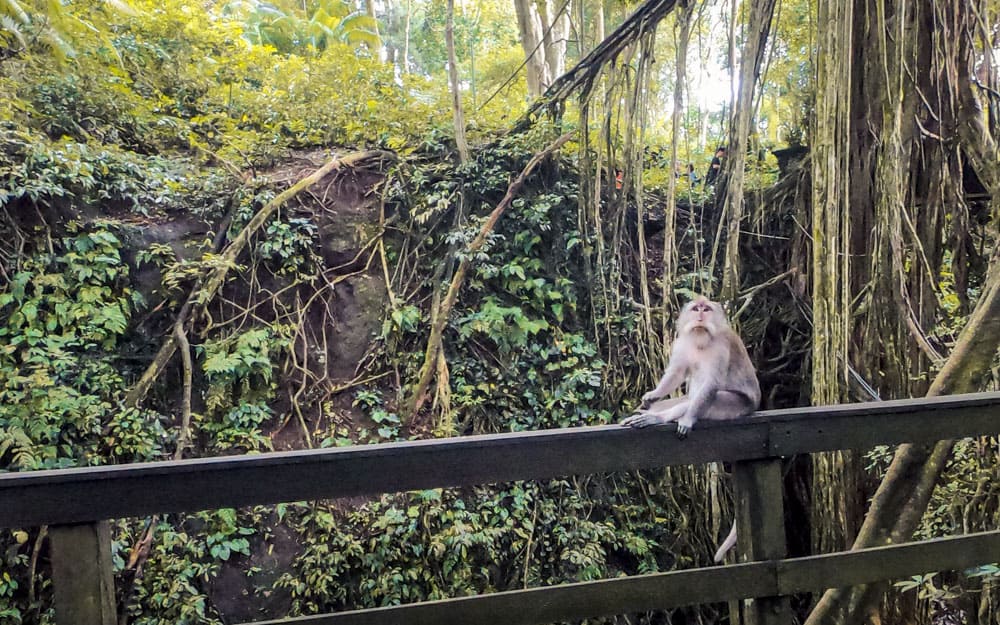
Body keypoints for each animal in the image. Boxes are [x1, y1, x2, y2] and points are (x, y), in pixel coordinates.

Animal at [616, 294, 756, 564]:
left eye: (706, 309)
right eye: (696, 308)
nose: (700, 316)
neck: (702, 339)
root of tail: (754, 407)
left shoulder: (721, 348)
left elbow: (710, 387)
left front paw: (687, 419)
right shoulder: (682, 344)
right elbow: (677, 373)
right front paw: (652, 396)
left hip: (735, 406)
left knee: (707, 398)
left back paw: (659, 418)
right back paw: (648, 412)